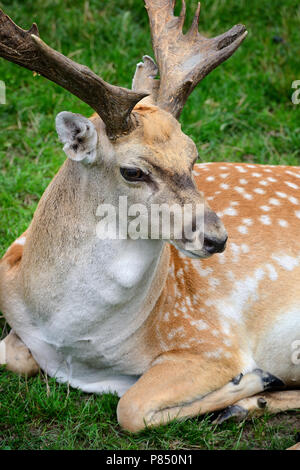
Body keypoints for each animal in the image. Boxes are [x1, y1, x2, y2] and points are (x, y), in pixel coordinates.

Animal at [0, 0, 300, 434]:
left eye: (193, 154)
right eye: (133, 171)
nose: (216, 238)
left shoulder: (211, 339)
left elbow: (130, 408)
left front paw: (251, 381)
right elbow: (14, 358)